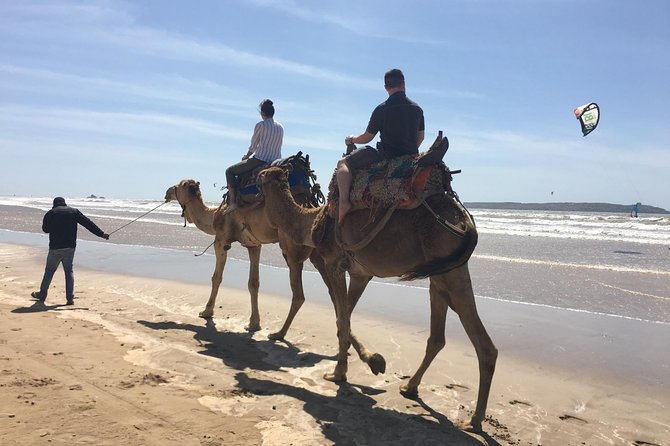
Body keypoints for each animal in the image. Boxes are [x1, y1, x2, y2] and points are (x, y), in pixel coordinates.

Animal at [257, 148, 497, 431]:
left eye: (262, 177)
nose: (255, 188)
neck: (312, 221)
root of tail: (465, 220)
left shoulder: (334, 262)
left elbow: (342, 319)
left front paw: (338, 373)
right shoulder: (361, 273)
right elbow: (343, 318)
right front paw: (371, 361)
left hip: (448, 267)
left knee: (483, 345)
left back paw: (474, 420)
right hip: (444, 271)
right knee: (438, 336)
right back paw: (410, 387)